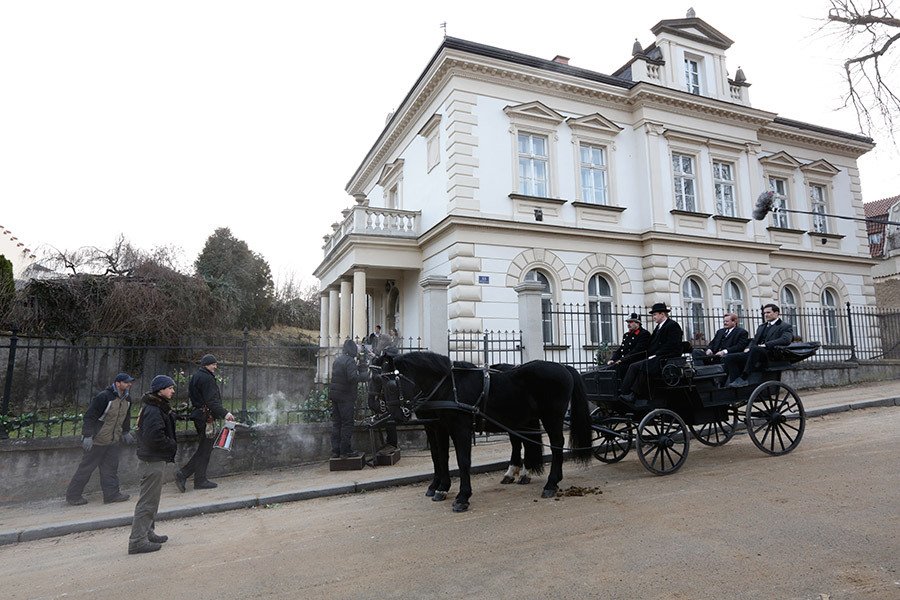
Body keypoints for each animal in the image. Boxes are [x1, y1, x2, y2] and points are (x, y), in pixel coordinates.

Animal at [392, 352, 592, 510]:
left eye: (393, 382)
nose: (396, 416)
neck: (449, 386)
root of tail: (563, 367)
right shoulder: (438, 426)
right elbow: (439, 456)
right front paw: (439, 487)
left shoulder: (459, 428)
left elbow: (462, 460)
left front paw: (462, 497)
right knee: (523, 442)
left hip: (551, 417)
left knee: (556, 444)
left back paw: (551, 483)